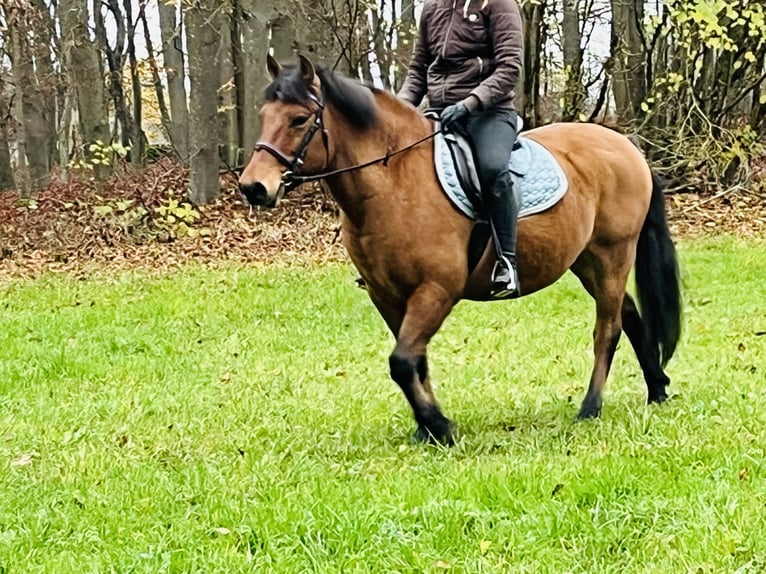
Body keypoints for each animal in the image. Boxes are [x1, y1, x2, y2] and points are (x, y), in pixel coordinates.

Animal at [240, 56, 684, 446]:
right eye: (263, 115)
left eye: (299, 120)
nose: (253, 187)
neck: (395, 183)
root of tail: (626, 147)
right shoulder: (388, 296)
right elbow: (414, 360)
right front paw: (426, 428)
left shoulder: (437, 290)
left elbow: (402, 361)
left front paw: (440, 426)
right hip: (587, 261)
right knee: (629, 314)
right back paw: (657, 389)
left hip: (613, 254)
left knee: (607, 328)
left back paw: (591, 408)